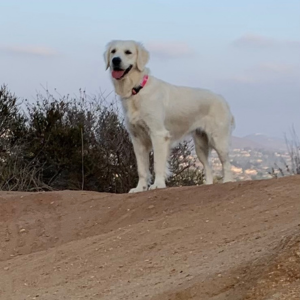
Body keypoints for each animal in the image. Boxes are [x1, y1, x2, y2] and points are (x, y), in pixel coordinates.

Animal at [103, 39, 234, 193]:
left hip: (219, 140)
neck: (138, 89)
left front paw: (158, 184)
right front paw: (140, 188)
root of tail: (222, 99)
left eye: (128, 52)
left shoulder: (158, 134)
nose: (115, 60)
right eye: (113, 51)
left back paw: (228, 181)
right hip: (200, 146)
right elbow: (142, 169)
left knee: (226, 164)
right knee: (209, 168)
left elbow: (157, 164)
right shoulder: (137, 139)